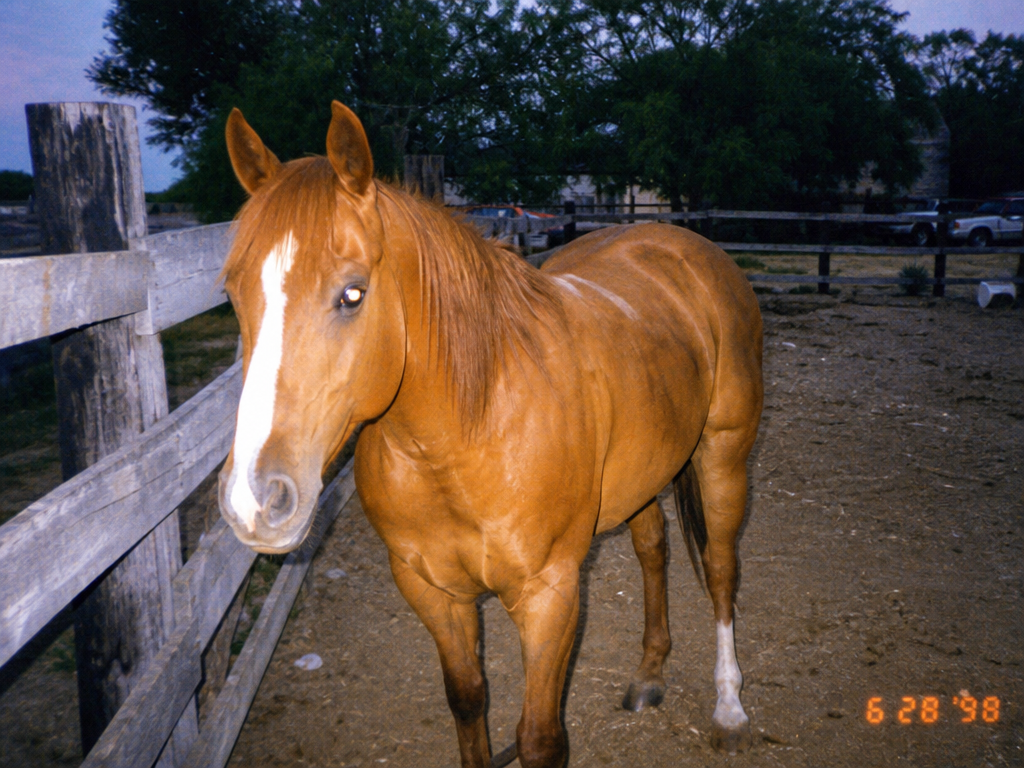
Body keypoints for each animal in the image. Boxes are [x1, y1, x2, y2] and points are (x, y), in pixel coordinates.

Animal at [217, 101, 763, 768]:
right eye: (233, 293)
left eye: (352, 293)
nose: (254, 501)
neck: (463, 437)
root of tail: (685, 244)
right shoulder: (433, 592)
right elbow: (468, 699)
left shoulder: (550, 595)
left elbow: (540, 738)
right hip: (646, 471)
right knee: (653, 549)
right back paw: (649, 673)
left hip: (724, 455)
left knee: (720, 567)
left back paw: (730, 706)